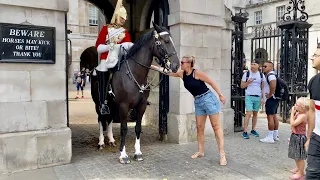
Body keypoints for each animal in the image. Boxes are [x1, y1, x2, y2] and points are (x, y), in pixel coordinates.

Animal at [85, 22, 180, 163]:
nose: (176, 65)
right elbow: (124, 129)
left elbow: (138, 128)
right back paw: (101, 142)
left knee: (110, 119)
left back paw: (111, 140)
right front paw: (123, 155)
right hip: (99, 104)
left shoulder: (141, 106)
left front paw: (138, 153)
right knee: (101, 119)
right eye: (166, 41)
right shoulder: (124, 106)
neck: (135, 74)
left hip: (112, 104)